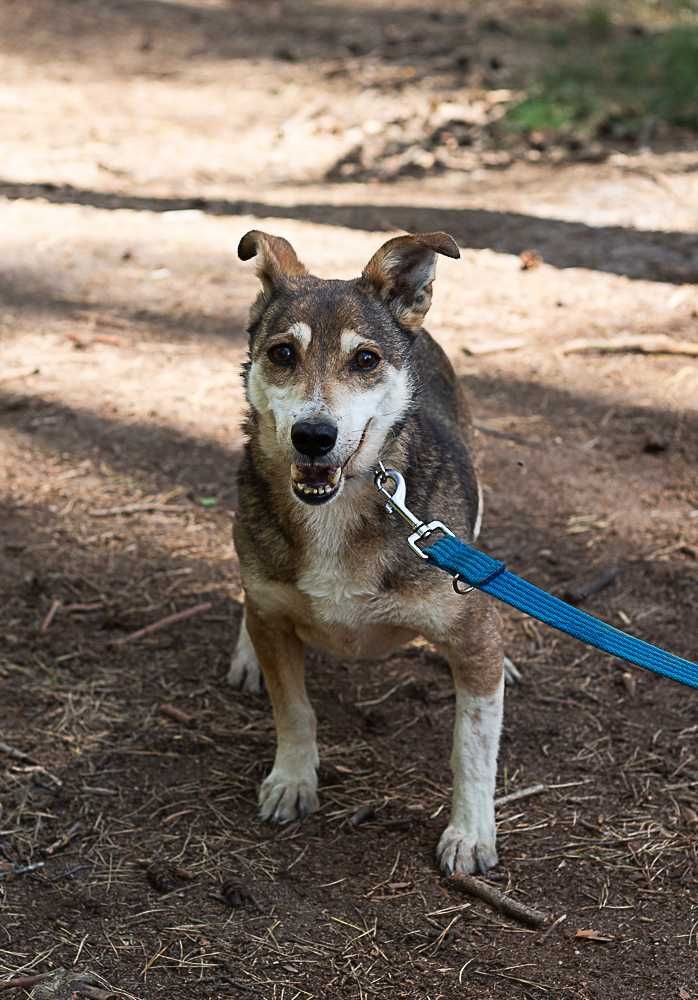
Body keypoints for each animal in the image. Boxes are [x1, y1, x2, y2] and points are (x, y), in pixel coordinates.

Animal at [230, 229, 506, 876]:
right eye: (282, 353)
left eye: (365, 360)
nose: (313, 436)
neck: (335, 511)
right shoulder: (272, 608)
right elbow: (293, 708)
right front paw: (292, 780)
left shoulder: (472, 630)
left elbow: (472, 745)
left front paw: (470, 833)